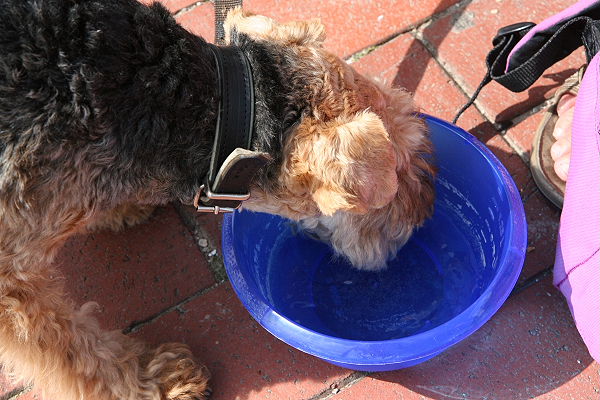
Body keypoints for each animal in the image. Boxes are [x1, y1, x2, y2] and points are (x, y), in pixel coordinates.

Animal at [0, 0, 435, 399]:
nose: (424, 214)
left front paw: (118, 207)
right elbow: (72, 349)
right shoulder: (13, 282)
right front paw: (153, 382)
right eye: (397, 175)